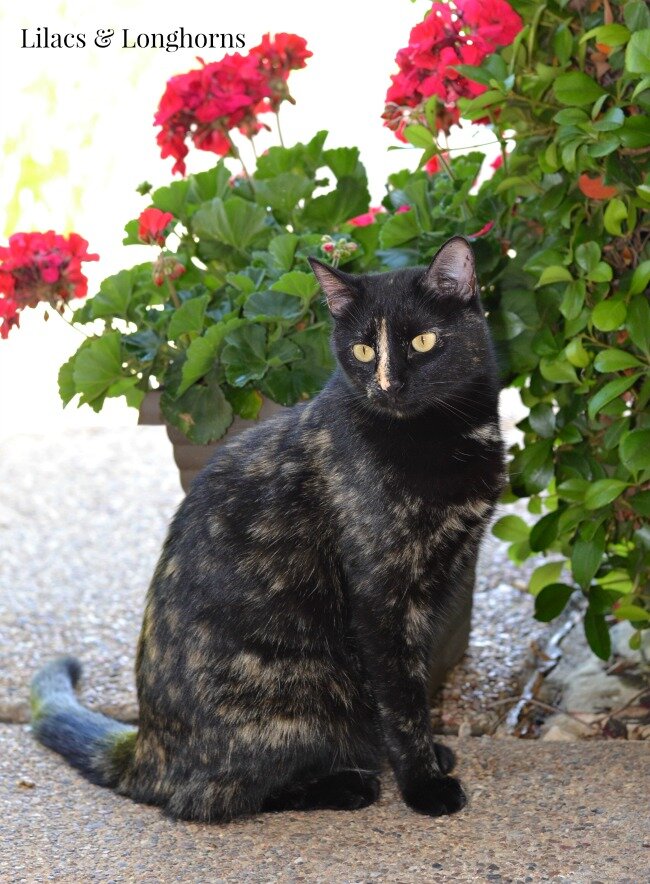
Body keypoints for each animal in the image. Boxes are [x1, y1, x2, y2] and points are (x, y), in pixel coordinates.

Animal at [33, 237, 504, 820]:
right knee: (210, 798)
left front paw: (430, 759)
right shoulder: (382, 598)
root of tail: (145, 748)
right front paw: (423, 785)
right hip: (300, 686)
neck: (440, 436)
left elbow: (414, 689)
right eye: (363, 351)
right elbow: (401, 701)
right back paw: (346, 784)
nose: (388, 385)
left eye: (423, 341)